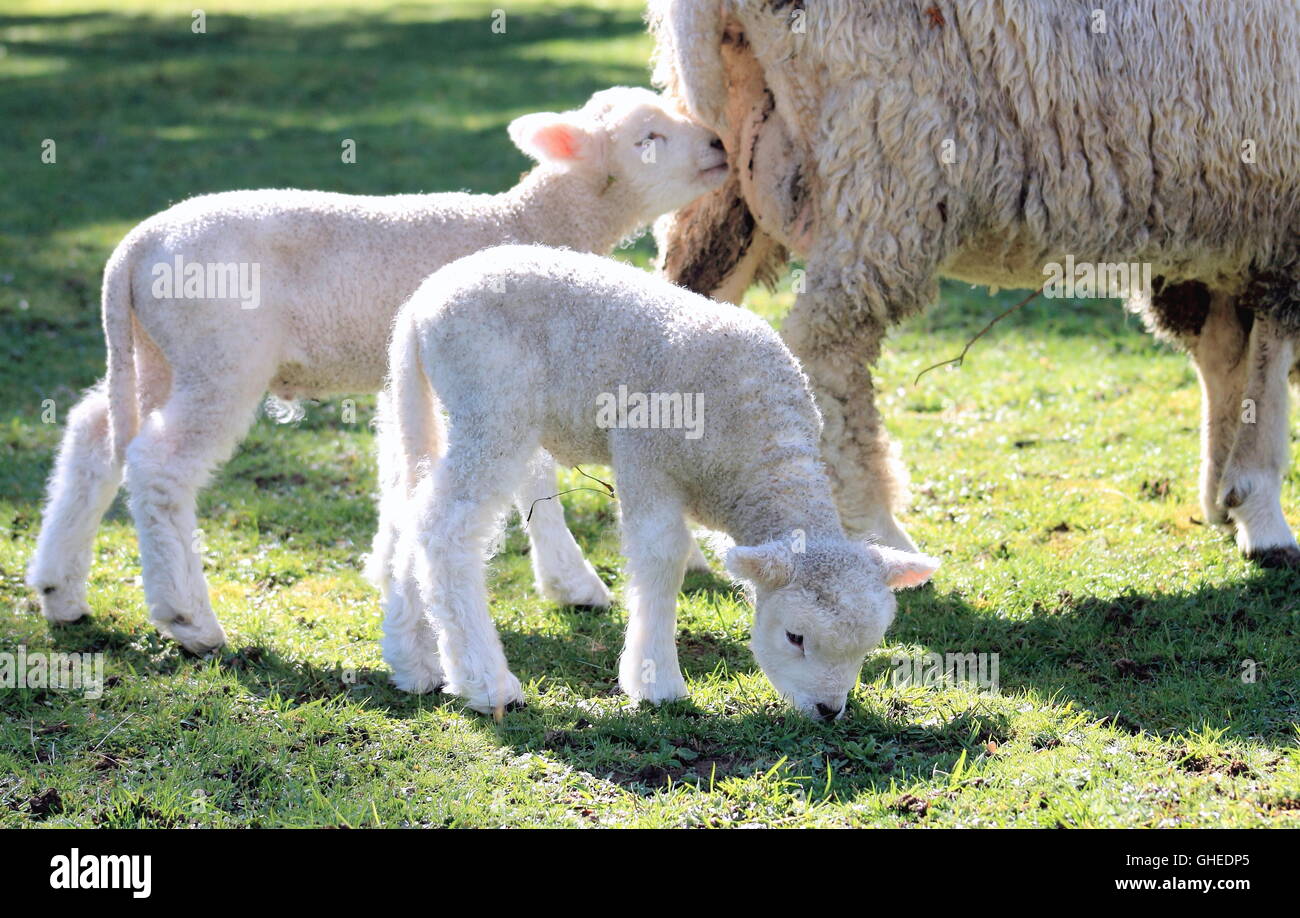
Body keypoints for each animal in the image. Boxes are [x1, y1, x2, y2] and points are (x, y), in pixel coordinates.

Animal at [25, 87, 733, 650]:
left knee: (94, 432)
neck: (528, 221)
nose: (721, 143)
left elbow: (407, 467)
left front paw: (392, 568)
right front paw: (572, 583)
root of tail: (135, 246)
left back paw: (59, 588)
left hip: (157, 351)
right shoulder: (507, 366)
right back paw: (189, 620)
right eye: (648, 137)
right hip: (218, 356)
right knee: (158, 463)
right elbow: (535, 476)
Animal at [377, 244, 935, 717]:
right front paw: (656, 681)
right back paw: (485, 682)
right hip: (493, 406)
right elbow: (662, 555)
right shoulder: (645, 456)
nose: (828, 710)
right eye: (794, 637)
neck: (758, 455)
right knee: (444, 528)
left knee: (413, 512)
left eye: (869, 645)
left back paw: (415, 663)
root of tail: (421, 303)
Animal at [647, 1, 1300, 564]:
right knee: (827, 347)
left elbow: (1226, 356)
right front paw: (1261, 512)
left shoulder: (1228, 228)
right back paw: (879, 530)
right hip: (888, 156)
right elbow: (1267, 364)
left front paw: (1221, 497)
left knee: (691, 311)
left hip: (732, 165)